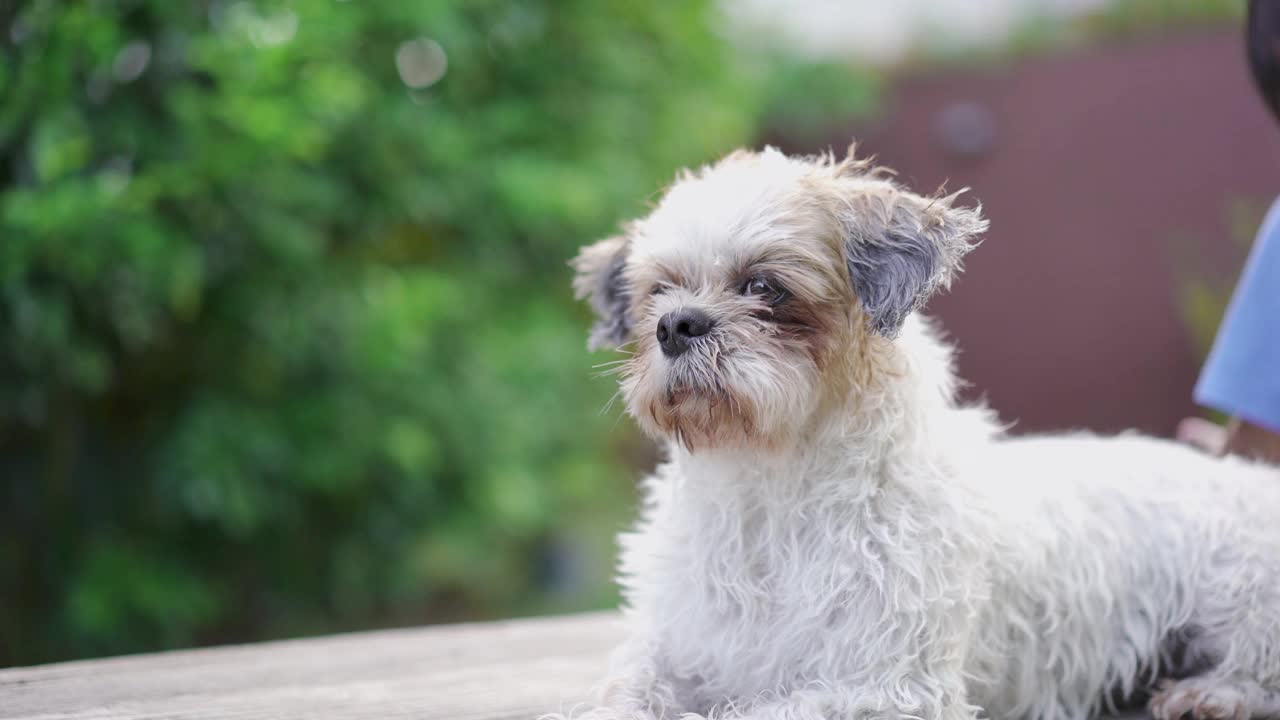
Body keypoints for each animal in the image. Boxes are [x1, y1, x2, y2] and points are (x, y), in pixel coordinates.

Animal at [565, 146, 1280, 717]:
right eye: (659, 291)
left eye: (764, 286)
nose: (676, 325)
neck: (768, 491)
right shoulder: (676, 649)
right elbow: (625, 691)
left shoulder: (889, 686)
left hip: (1246, 593)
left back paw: (1214, 692)